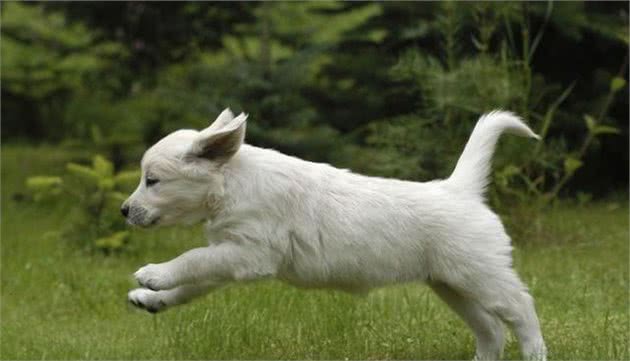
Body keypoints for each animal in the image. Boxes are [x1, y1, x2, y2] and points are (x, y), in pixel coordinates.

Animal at [123, 108, 548, 358]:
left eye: (152, 181)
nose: (124, 211)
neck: (233, 182)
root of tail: (458, 189)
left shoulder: (249, 254)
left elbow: (191, 260)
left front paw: (154, 273)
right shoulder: (229, 255)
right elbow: (194, 280)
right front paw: (153, 298)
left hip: (482, 276)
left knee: (521, 309)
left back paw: (535, 353)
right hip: (451, 284)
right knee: (491, 329)